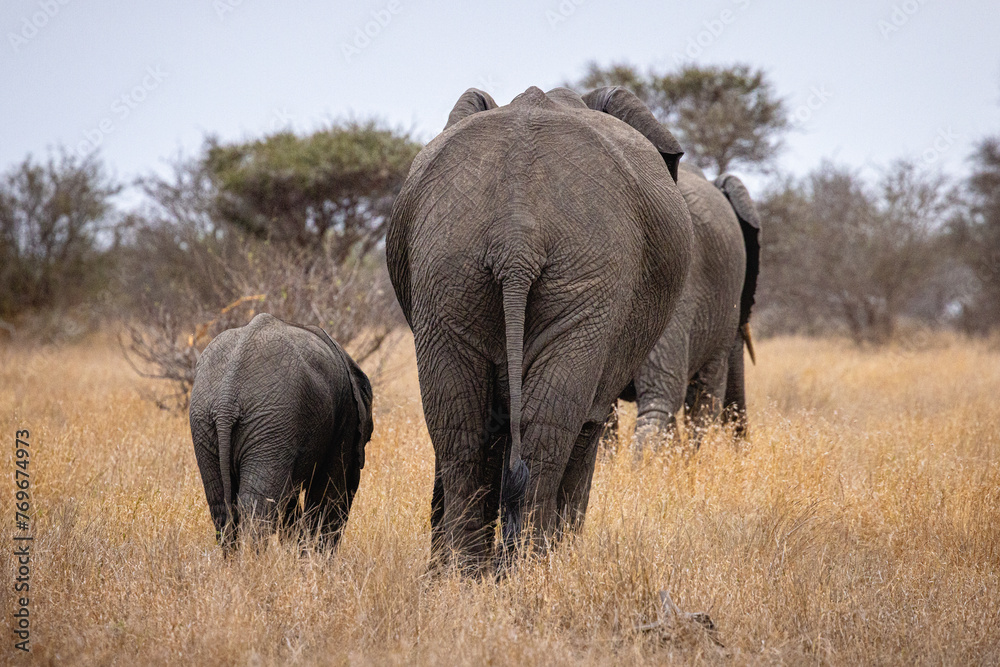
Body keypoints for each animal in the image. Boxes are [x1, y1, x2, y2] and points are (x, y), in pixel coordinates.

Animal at [189, 314, 374, 552]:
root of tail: (226, 398)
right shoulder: (346, 418)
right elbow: (329, 492)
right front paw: (314, 560)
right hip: (270, 422)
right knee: (257, 509)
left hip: (209, 423)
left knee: (221, 506)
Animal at [386, 85, 692, 576]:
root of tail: (516, 237)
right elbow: (588, 425)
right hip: (586, 278)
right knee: (549, 430)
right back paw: (526, 570)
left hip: (448, 267)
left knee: (459, 426)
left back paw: (466, 574)